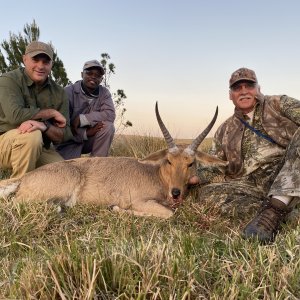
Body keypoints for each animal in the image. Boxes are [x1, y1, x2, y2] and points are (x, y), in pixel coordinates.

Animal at [0, 102, 226, 218]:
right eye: (169, 161)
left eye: (191, 163)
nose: (176, 193)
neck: (157, 176)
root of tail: (26, 177)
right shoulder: (141, 201)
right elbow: (168, 214)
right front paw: (116, 208)